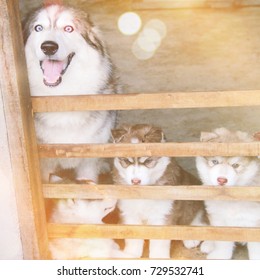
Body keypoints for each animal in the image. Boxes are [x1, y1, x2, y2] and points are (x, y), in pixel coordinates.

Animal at [22, 4, 118, 183]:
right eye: (38, 28)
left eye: (68, 28)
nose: (49, 47)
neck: (62, 98)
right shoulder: (45, 167)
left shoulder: (89, 163)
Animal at [111, 124, 201, 258]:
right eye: (127, 161)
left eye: (148, 161)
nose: (135, 181)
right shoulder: (129, 212)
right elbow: (132, 236)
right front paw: (131, 254)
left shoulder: (163, 214)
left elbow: (159, 241)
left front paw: (159, 256)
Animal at [196, 128, 258, 260]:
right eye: (215, 162)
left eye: (235, 165)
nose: (222, 180)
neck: (231, 199)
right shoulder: (219, 219)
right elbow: (223, 241)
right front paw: (220, 255)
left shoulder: (254, 223)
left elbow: (256, 248)